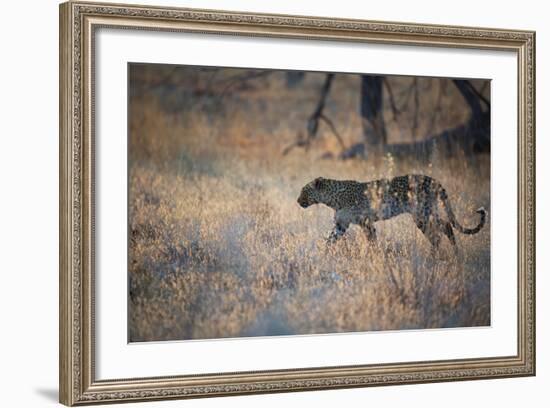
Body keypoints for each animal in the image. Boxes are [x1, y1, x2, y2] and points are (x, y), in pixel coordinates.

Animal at [300, 175, 490, 252]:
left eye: (304, 191)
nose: (297, 200)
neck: (332, 199)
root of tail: (432, 179)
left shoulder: (366, 222)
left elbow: (372, 241)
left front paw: (374, 256)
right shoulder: (341, 225)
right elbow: (329, 240)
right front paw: (323, 256)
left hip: (421, 214)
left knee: (439, 232)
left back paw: (437, 256)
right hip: (426, 213)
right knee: (445, 227)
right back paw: (451, 254)